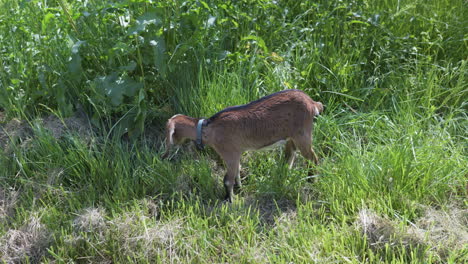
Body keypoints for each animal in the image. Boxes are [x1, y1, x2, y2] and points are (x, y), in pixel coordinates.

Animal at [163, 89, 324, 202]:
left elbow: (227, 179)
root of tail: (312, 103)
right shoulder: (237, 153)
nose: (164, 155)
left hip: (303, 134)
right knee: (290, 155)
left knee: (312, 158)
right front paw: (239, 189)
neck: (209, 129)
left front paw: (229, 200)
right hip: (292, 136)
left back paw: (311, 180)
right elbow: (237, 172)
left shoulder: (230, 152)